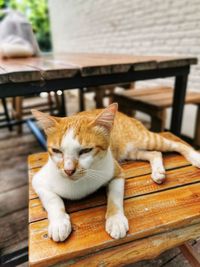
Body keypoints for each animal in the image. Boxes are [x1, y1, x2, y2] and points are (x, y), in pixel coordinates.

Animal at [31, 104, 200, 243]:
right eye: (56, 151)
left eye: (86, 150)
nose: (68, 170)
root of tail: (124, 114)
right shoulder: (38, 181)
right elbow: (53, 200)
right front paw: (59, 223)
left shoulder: (117, 173)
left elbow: (115, 197)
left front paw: (116, 220)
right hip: (130, 151)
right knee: (155, 153)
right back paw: (158, 172)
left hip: (144, 139)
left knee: (176, 144)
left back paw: (195, 157)